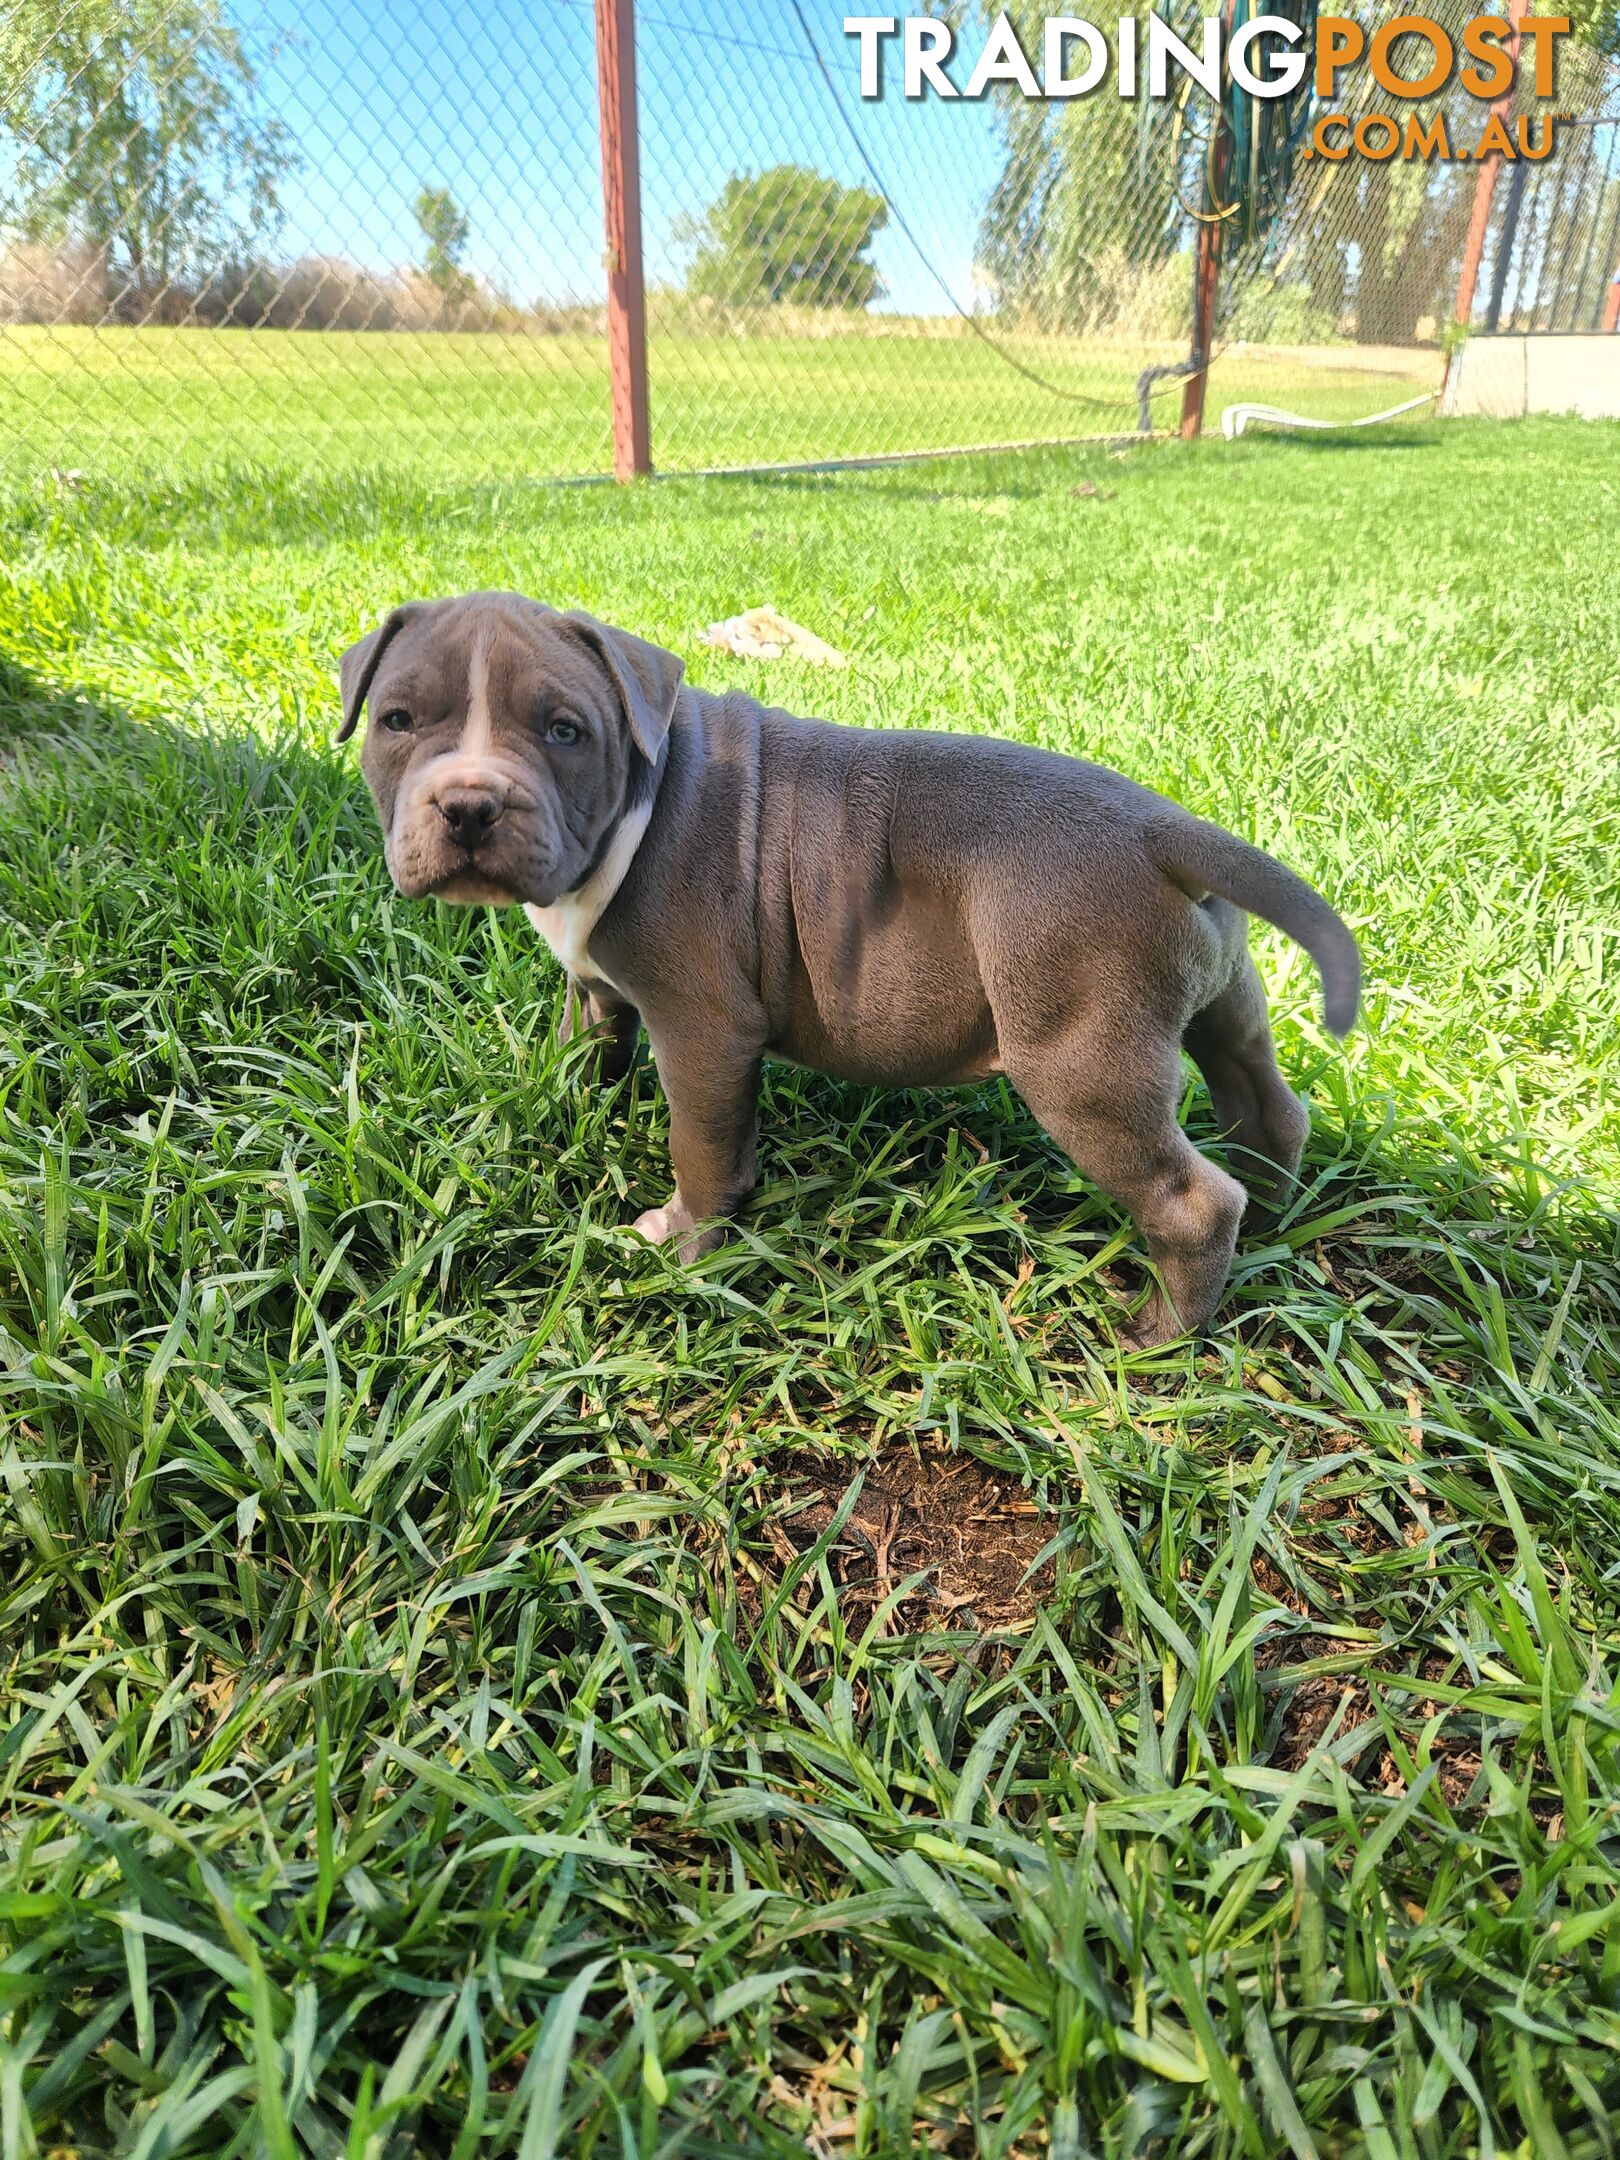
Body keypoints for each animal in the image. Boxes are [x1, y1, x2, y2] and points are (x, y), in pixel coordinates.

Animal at [339, 583, 1356, 1339]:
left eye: (563, 731)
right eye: (397, 721)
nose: (468, 805)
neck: (642, 788)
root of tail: (1164, 830)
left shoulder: (704, 1030)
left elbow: (701, 1142)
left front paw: (685, 1242)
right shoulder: (596, 986)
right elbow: (583, 1043)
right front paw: (551, 1103)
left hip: (1081, 1060)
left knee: (1190, 1198)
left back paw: (1158, 1331)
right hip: (1224, 999)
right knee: (1266, 1104)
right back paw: (1271, 1216)